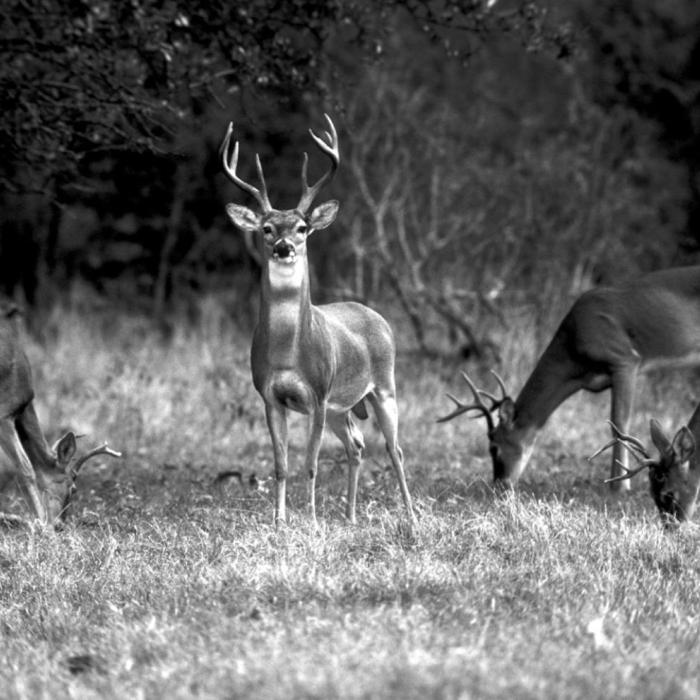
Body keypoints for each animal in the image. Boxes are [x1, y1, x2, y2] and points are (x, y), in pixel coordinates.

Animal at [221, 115, 416, 528]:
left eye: (302, 228)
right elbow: (280, 465)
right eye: (266, 228)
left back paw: (410, 515)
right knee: (357, 445)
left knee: (395, 449)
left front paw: (308, 519)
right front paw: (279, 521)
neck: (287, 352)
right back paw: (350, 516)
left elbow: (310, 465)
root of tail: (378, 317)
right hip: (344, 408)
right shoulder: (270, 396)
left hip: (383, 385)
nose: (283, 248)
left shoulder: (319, 392)